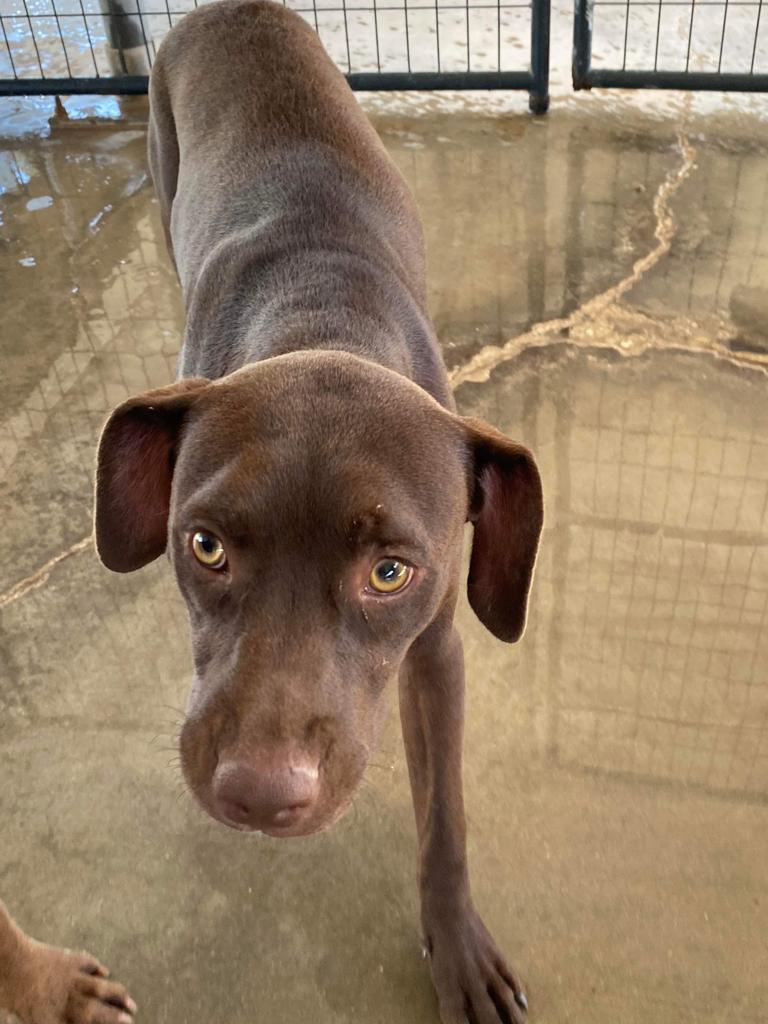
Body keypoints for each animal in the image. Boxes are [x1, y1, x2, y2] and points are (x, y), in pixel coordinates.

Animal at [93, 4, 544, 1019]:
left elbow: (444, 817)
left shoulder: (438, 652)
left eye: (390, 571)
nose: (260, 797)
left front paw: (458, 948)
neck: (322, 320)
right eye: (205, 546)